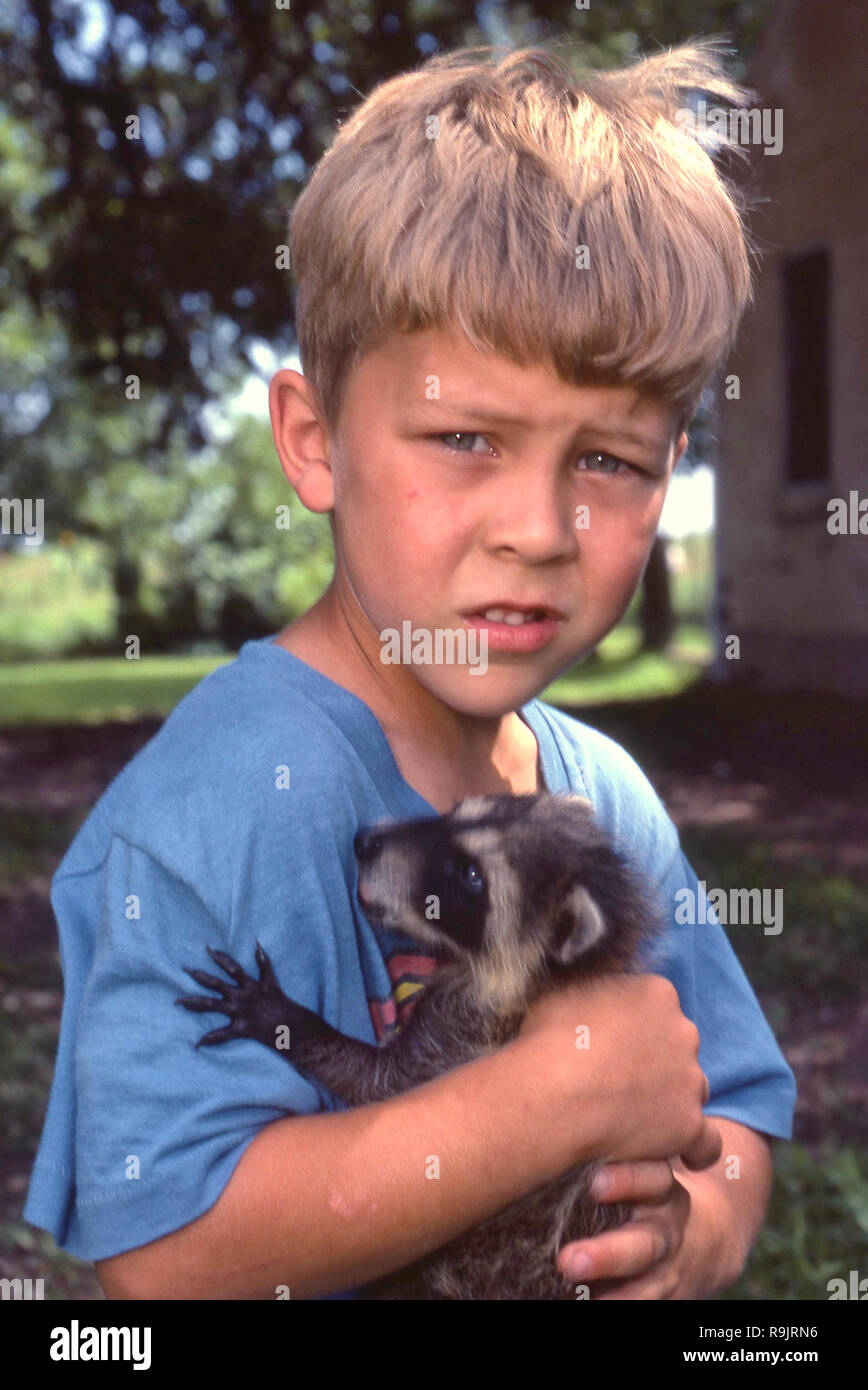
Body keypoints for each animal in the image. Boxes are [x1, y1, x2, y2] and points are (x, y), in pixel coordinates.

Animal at [179, 800, 662, 1295]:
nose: (364, 841)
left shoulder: (467, 1029)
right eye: (454, 812)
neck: (553, 976)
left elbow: (385, 1082)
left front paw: (284, 1019)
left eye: (470, 875)